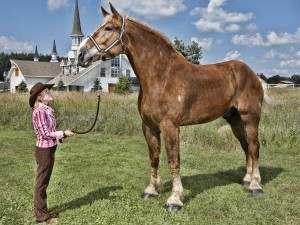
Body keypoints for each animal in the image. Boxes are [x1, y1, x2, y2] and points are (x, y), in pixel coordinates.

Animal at [77, 2, 264, 212]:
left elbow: (174, 161)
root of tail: (252, 74)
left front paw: (175, 199)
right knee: (245, 146)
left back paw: (256, 185)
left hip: (250, 118)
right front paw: (151, 190)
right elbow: (154, 157)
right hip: (234, 119)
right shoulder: (149, 126)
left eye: (109, 28)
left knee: (254, 146)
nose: (81, 55)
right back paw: (247, 179)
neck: (161, 77)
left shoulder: (170, 127)